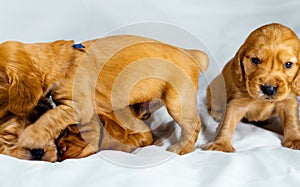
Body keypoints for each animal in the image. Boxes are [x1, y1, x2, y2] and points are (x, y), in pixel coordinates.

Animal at [0, 34, 209, 161]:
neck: (63, 64)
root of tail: (191, 54)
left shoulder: (80, 106)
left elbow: (50, 117)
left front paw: (31, 136)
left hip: (177, 101)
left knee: (194, 124)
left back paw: (182, 149)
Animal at [205, 23, 300, 152]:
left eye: (288, 64)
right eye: (255, 60)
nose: (268, 89)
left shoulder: (289, 100)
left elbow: (292, 119)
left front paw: (295, 140)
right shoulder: (237, 102)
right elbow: (227, 121)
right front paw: (220, 144)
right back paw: (218, 114)